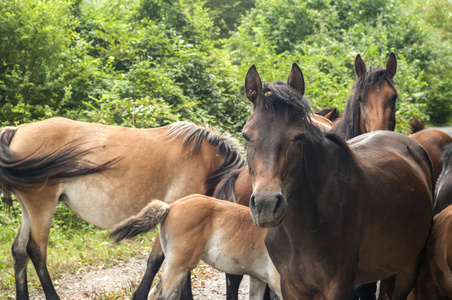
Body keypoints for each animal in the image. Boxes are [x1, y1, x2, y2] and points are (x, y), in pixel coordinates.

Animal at [0, 118, 245, 300]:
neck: (206, 160)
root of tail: (17, 130)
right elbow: (157, 262)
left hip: (28, 210)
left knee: (19, 251)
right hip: (42, 207)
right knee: (36, 250)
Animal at [242, 64, 432, 298]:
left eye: (299, 136)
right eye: (246, 135)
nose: (266, 206)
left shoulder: (339, 286)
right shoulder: (291, 286)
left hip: (408, 266)